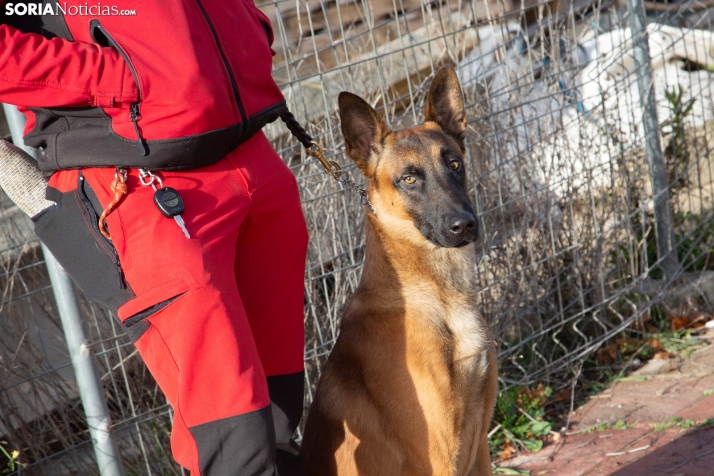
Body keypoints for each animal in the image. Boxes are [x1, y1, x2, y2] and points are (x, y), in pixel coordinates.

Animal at [298, 68, 496, 476]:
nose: (464, 225)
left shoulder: (480, 444)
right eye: (409, 178)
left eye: (455, 164)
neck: (438, 297)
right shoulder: (439, 456)